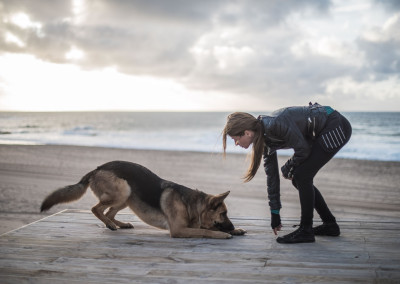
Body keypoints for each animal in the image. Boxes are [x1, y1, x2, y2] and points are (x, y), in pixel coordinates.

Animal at [41, 161, 247, 239]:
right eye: (224, 213)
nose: (230, 225)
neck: (190, 204)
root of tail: (97, 168)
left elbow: (207, 228)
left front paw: (236, 229)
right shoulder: (179, 230)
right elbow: (206, 231)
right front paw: (223, 233)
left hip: (127, 197)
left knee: (109, 212)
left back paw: (119, 224)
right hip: (123, 190)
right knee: (96, 209)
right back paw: (110, 225)